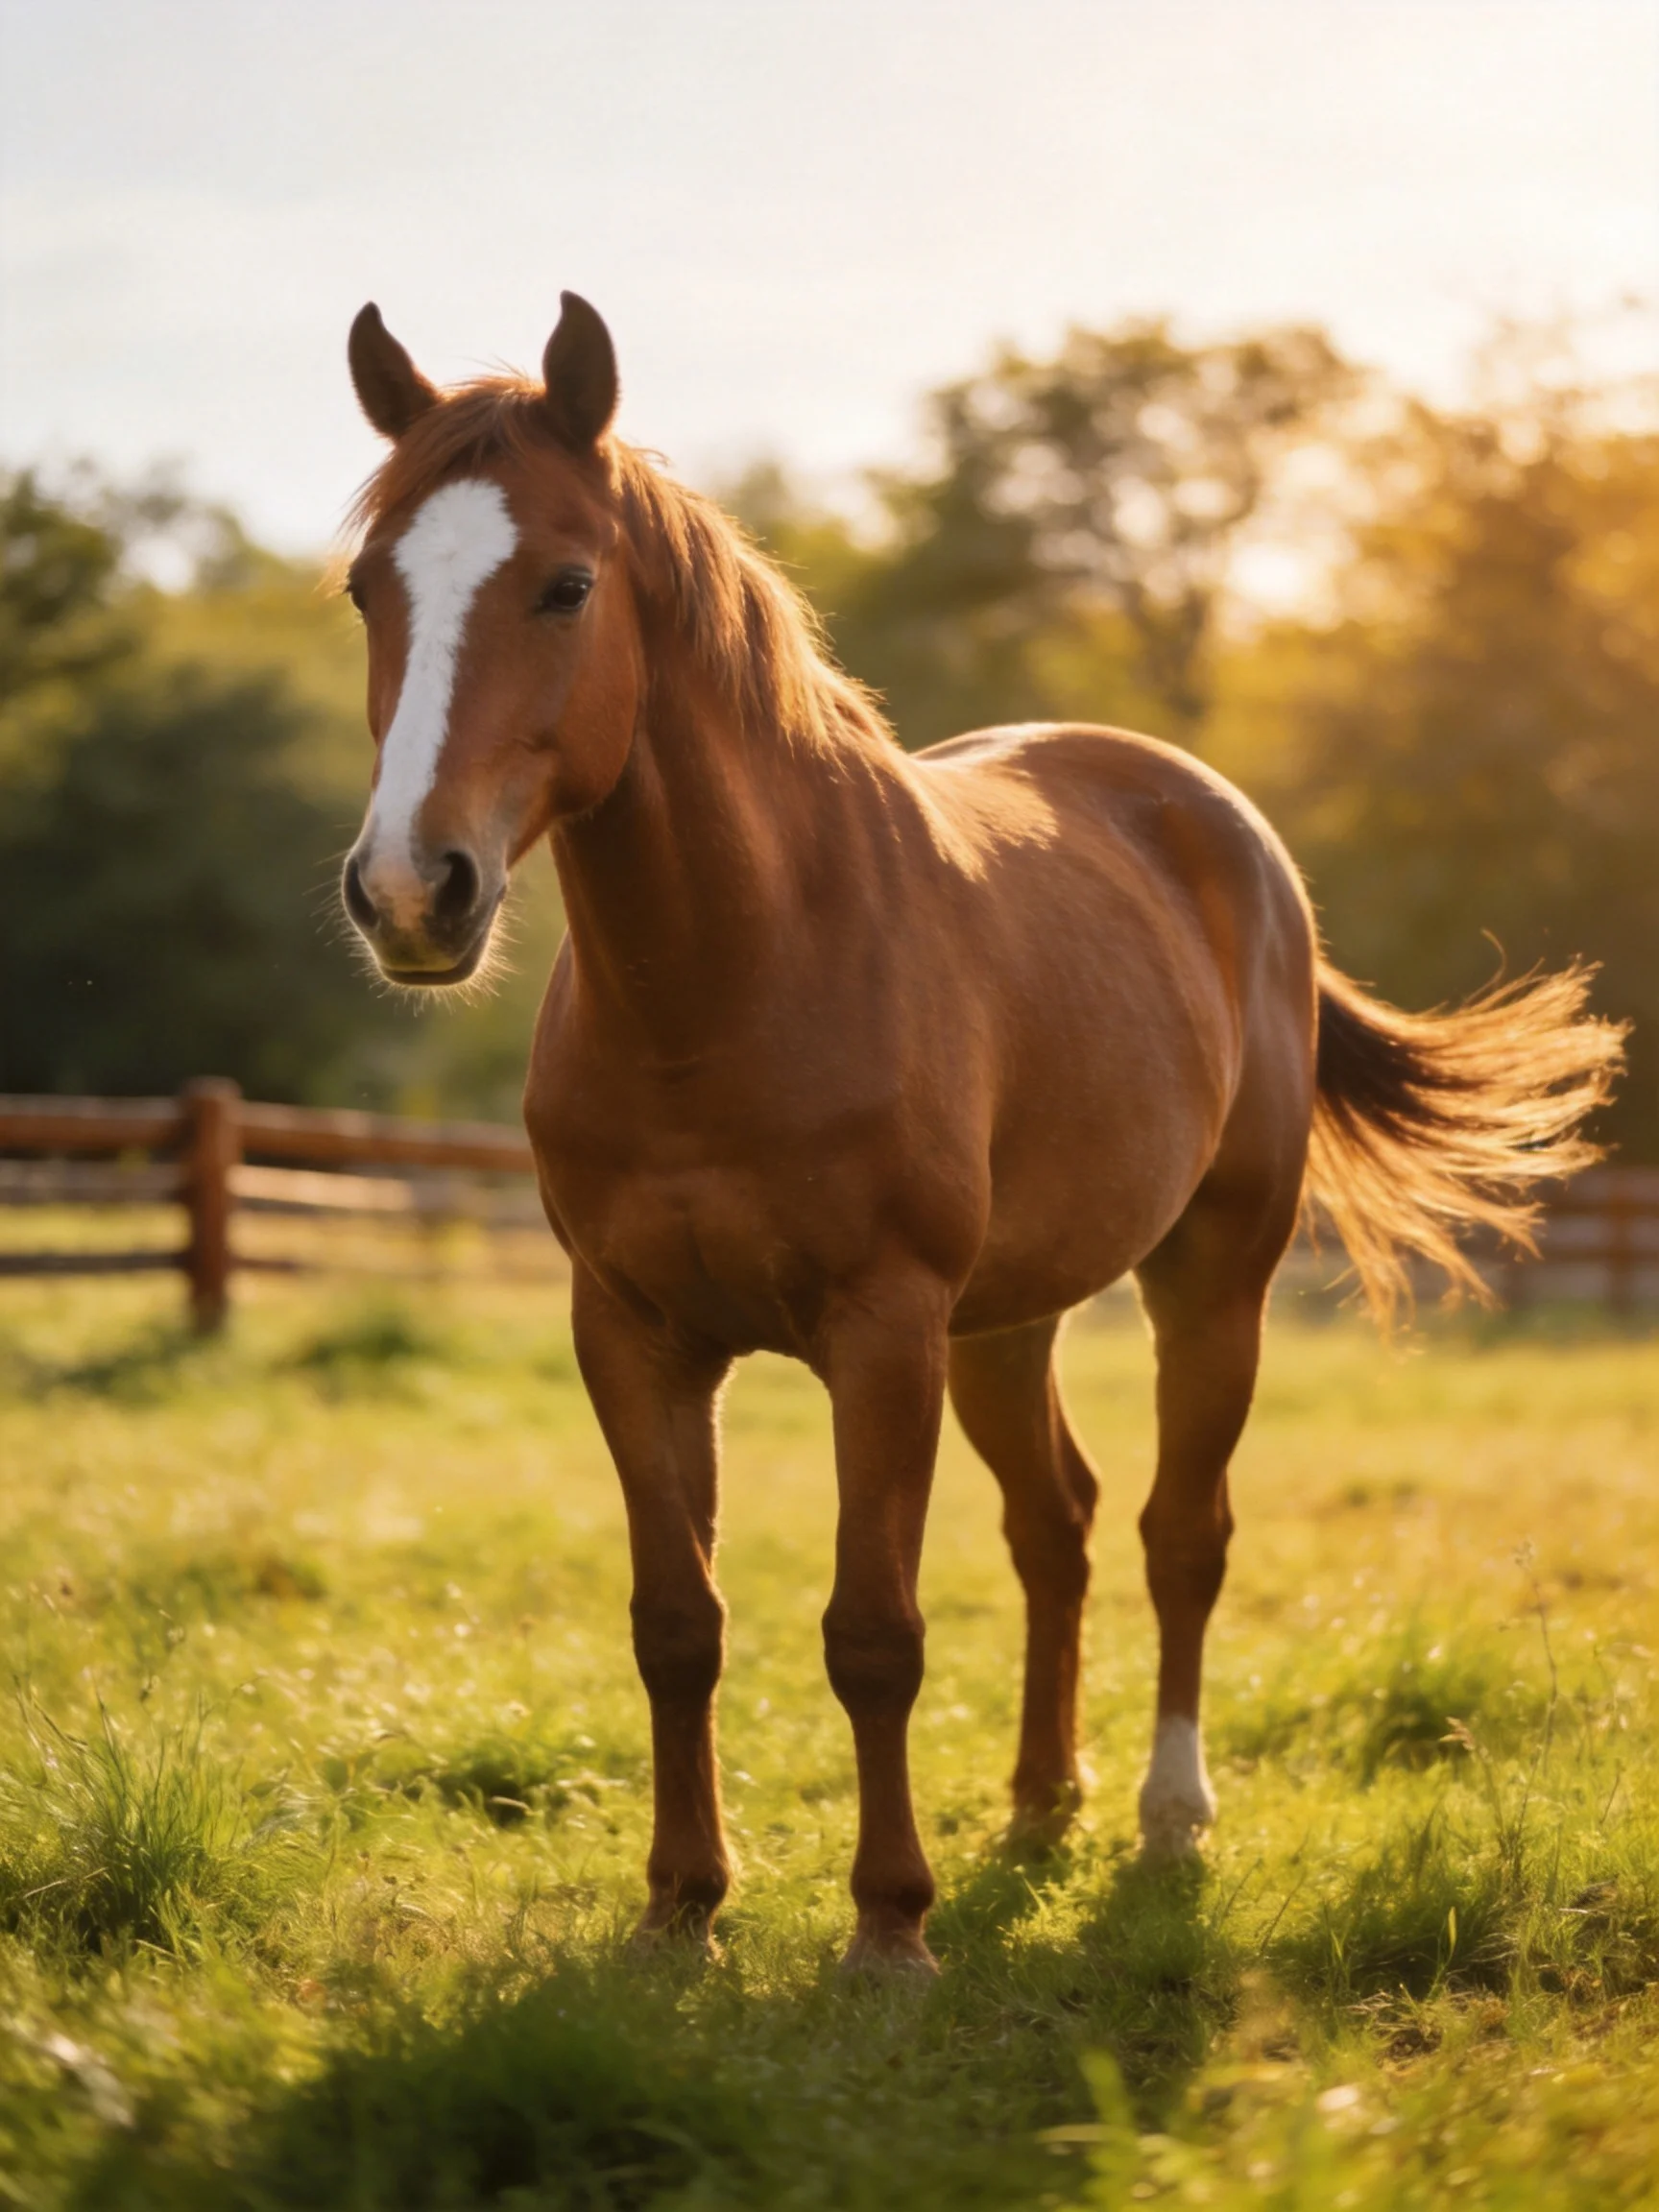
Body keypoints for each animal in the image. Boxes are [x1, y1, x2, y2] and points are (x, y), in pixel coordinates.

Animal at [337, 293, 1621, 1972]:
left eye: (565, 584)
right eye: (367, 587)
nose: (410, 890)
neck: (736, 978)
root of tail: (1219, 824)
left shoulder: (881, 1332)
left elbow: (873, 1632)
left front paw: (891, 1925)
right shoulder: (630, 1333)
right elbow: (677, 1623)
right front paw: (682, 1907)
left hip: (1210, 1277)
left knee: (1179, 1531)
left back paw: (1165, 1814)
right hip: (1006, 1324)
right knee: (1056, 1526)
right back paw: (1037, 1804)